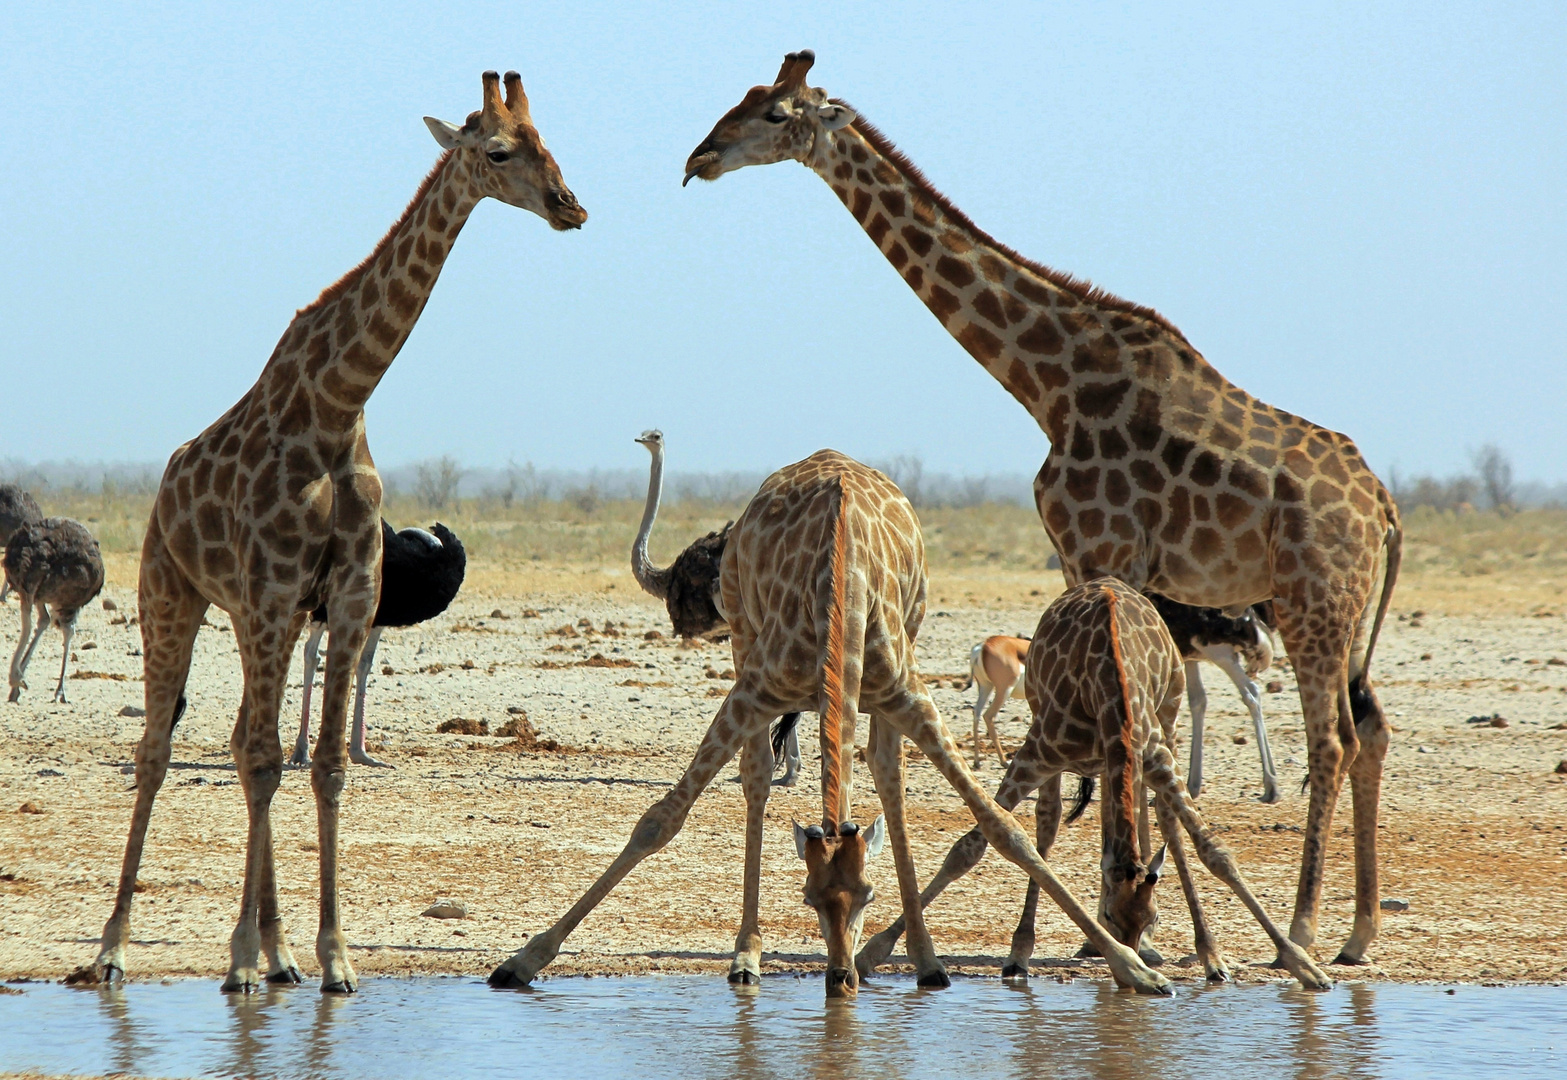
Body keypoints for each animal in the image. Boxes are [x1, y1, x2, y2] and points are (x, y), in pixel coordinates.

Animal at [87, 67, 589, 996]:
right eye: (501, 151)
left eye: (549, 143)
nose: (571, 208)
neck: (335, 403)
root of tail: (167, 483)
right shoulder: (273, 590)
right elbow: (261, 760)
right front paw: (241, 959)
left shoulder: (345, 599)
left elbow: (319, 765)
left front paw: (329, 956)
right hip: (171, 594)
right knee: (160, 750)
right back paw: (116, 950)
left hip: (265, 616)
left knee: (243, 743)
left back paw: (276, 952)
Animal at [492, 445, 1178, 996]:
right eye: (808, 897)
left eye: (865, 895)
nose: (841, 979)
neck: (839, 591)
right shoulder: (756, 689)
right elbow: (660, 819)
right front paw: (525, 958)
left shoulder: (909, 694)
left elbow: (1002, 829)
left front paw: (1139, 971)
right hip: (743, 639)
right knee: (757, 777)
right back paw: (747, 956)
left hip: (897, 663)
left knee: (888, 778)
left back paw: (926, 961)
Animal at [858, 576, 1335, 990]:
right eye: (1107, 915)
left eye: (1153, 919)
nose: (1133, 953)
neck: (1109, 686)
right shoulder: (1037, 754)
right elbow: (968, 848)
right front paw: (873, 950)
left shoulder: (1154, 755)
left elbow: (1217, 853)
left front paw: (1304, 966)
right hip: (1056, 742)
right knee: (1049, 821)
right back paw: (1020, 953)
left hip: (1163, 724)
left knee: (1164, 821)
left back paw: (1212, 957)